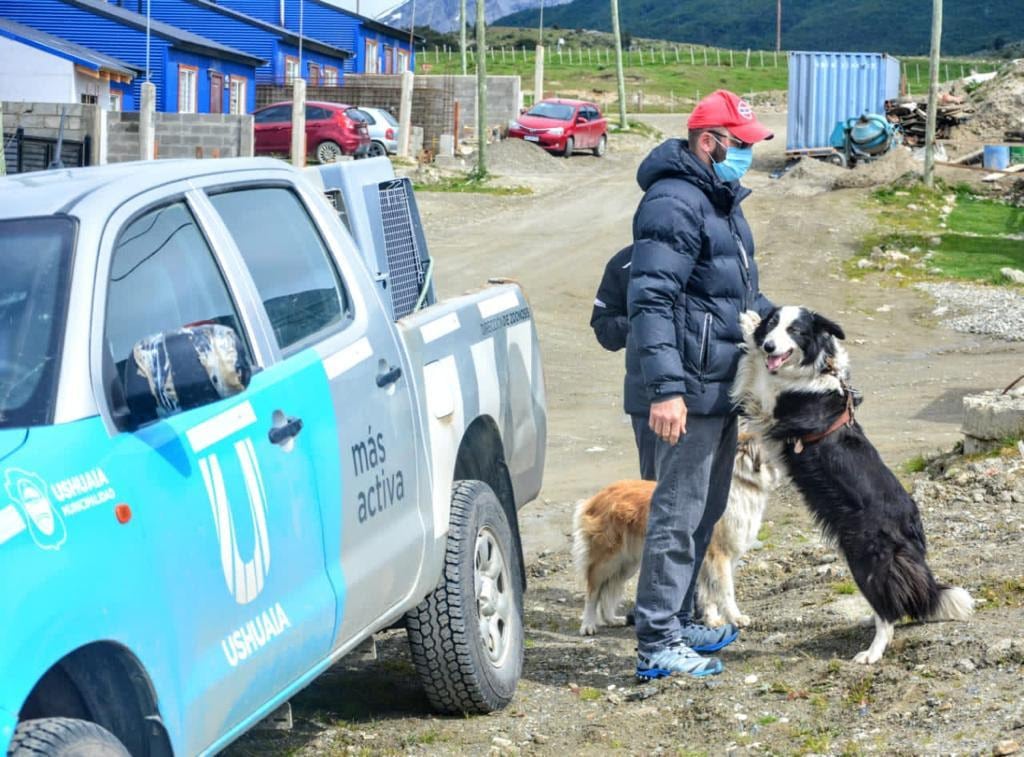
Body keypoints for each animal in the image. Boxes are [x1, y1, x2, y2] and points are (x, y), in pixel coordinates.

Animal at [733, 307, 970, 663]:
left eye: (795, 330)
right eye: (774, 324)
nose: (770, 346)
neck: (812, 369)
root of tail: (911, 525)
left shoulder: (774, 401)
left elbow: (758, 372)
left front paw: (748, 325)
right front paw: (754, 325)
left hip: (866, 558)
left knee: (888, 611)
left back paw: (872, 652)